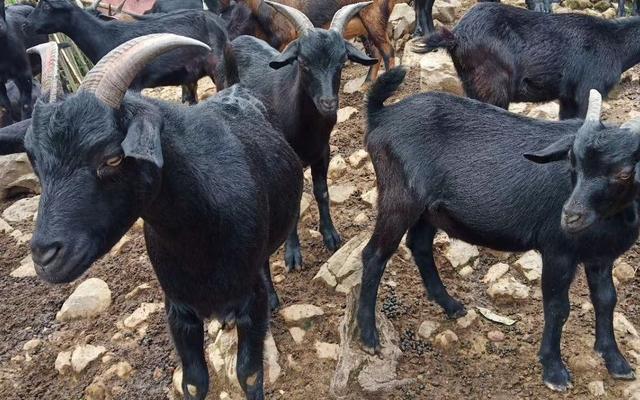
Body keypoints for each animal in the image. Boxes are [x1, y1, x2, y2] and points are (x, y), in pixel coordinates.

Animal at [416, 3, 640, 119]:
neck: (615, 43)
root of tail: (456, 36)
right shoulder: (589, 88)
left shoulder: (567, 96)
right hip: (493, 85)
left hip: (470, 83)